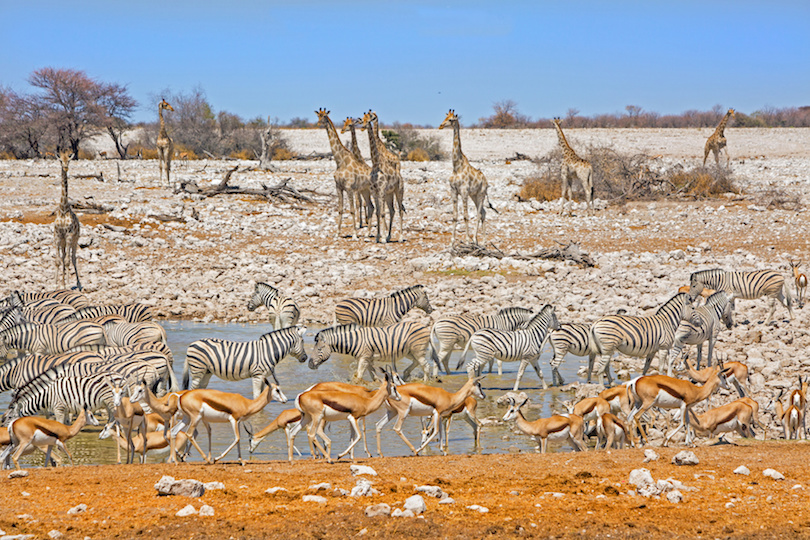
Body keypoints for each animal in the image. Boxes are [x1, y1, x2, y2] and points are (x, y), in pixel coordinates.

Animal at [316, 107, 372, 238]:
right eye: (318, 116)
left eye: (324, 116)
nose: (318, 123)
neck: (340, 161)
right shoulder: (339, 187)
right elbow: (340, 209)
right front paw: (337, 232)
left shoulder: (349, 188)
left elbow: (352, 209)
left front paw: (354, 233)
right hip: (365, 190)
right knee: (371, 206)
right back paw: (369, 232)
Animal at [438, 109, 490, 245]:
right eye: (445, 117)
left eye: (451, 119)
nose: (441, 126)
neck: (457, 167)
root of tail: (486, 181)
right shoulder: (453, 191)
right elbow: (454, 216)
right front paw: (452, 240)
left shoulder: (464, 191)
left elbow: (466, 216)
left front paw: (467, 239)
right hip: (474, 195)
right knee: (483, 212)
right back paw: (482, 240)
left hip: (481, 194)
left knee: (479, 214)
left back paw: (477, 239)